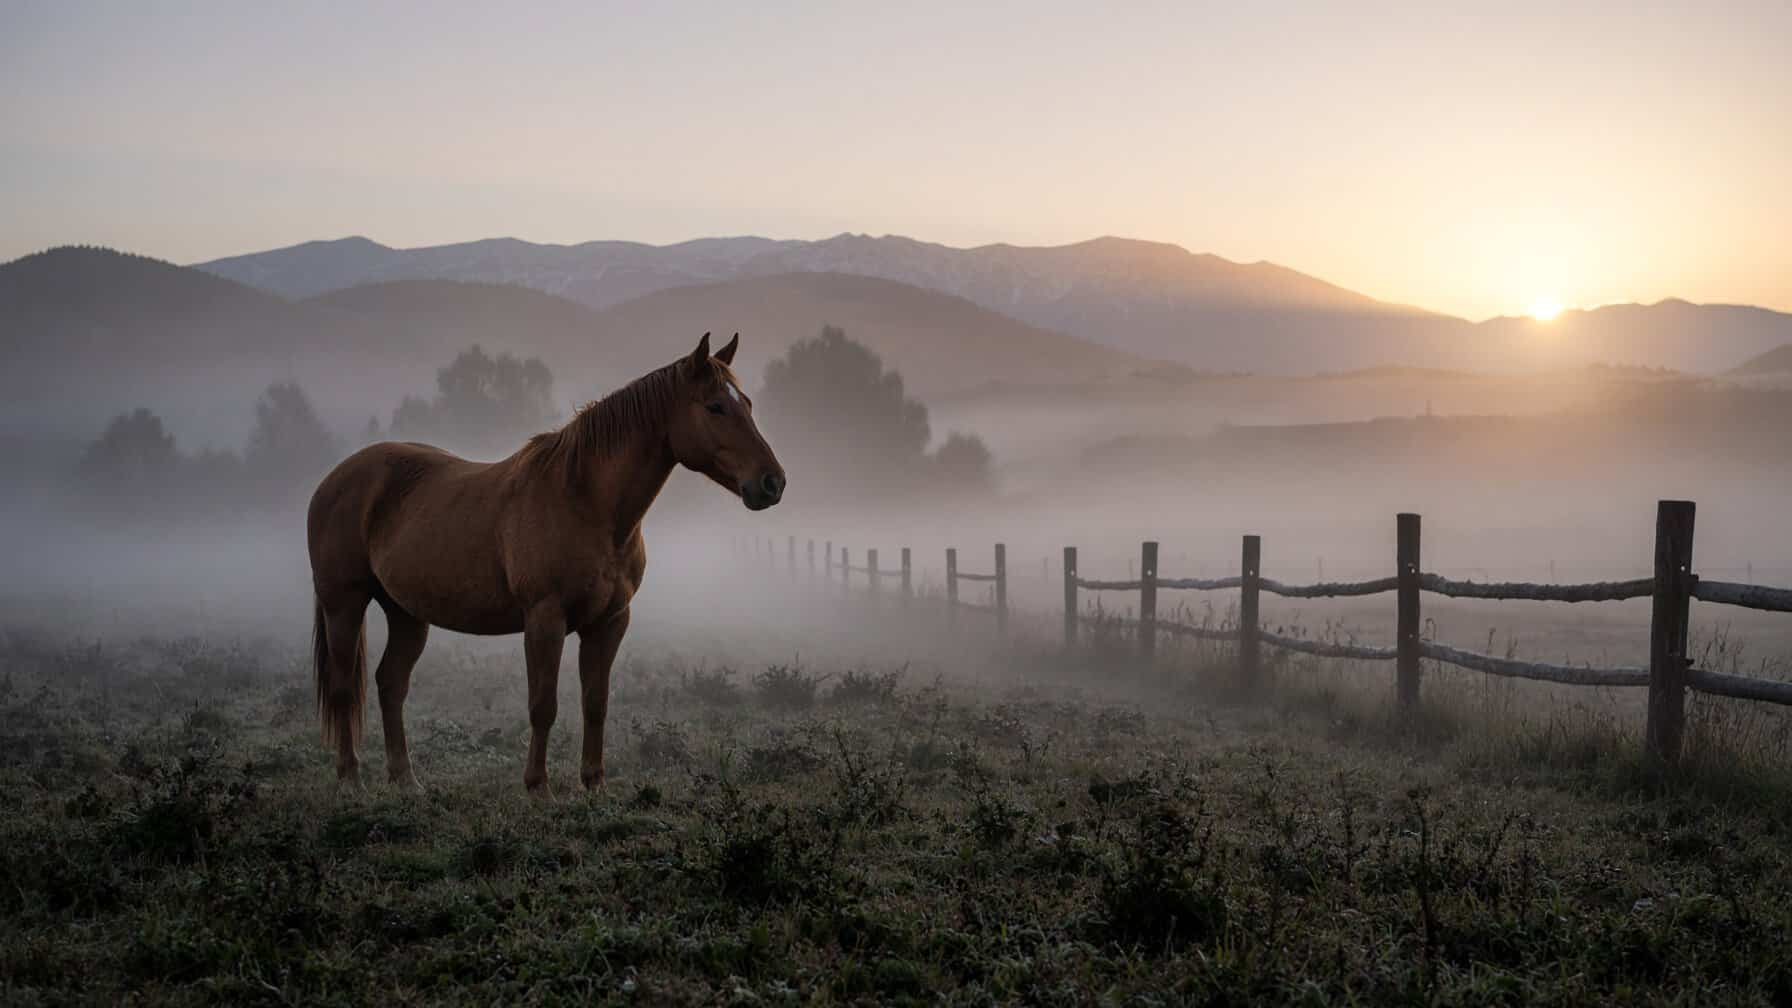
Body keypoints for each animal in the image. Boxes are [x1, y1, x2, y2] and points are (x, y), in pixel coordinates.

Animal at [306, 332, 784, 793]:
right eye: (716, 406)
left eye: (748, 404)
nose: (772, 482)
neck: (585, 502)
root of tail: (334, 479)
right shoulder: (545, 619)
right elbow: (543, 705)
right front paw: (539, 787)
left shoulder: (611, 621)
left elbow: (596, 703)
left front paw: (594, 784)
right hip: (344, 604)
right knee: (345, 687)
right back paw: (351, 779)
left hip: (406, 613)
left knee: (391, 685)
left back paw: (406, 780)